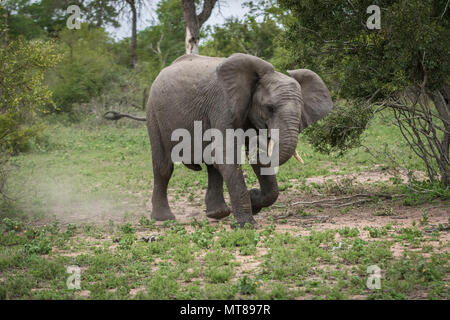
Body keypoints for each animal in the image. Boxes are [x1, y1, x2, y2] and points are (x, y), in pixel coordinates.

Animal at [106, 53, 334, 228]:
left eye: (301, 109)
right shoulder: (222, 105)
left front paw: (253, 199)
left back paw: (218, 214)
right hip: (154, 112)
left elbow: (244, 159)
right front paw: (247, 225)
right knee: (163, 166)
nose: (254, 194)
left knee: (211, 165)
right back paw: (165, 219)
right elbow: (227, 154)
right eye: (269, 108)